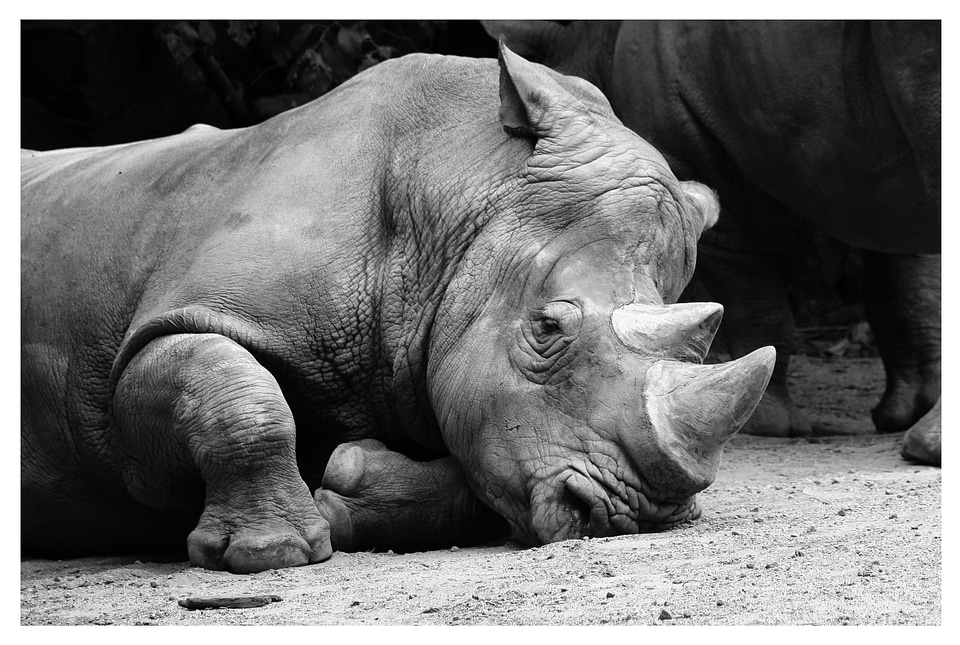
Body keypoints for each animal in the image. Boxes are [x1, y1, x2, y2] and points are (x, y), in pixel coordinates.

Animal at [20, 44, 772, 572]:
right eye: (546, 328)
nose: (632, 512)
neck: (456, 200)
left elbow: (479, 467)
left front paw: (347, 487)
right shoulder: (161, 336)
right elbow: (230, 390)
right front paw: (273, 554)